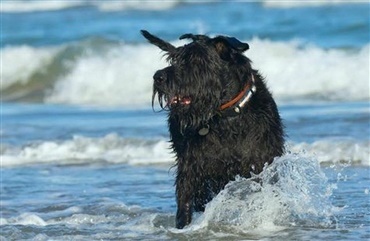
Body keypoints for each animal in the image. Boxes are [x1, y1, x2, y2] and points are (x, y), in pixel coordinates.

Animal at [141, 29, 284, 228]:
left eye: (196, 61)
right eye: (175, 59)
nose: (158, 77)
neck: (227, 116)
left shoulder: (260, 162)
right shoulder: (191, 167)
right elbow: (185, 199)